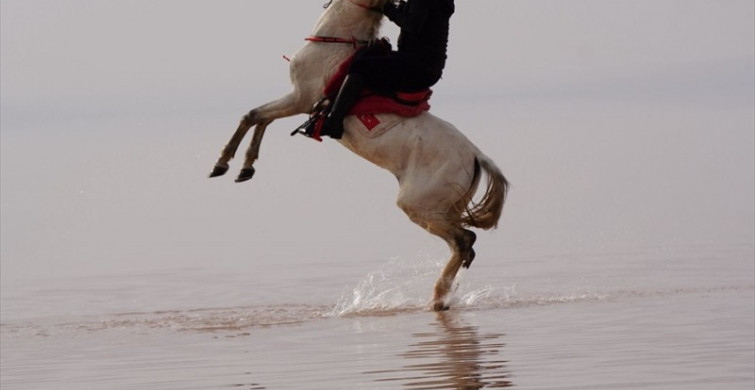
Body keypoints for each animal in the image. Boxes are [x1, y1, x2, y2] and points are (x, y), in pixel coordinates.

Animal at [210, 0, 510, 310]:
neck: (335, 40)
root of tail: (476, 155)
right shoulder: (298, 100)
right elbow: (261, 120)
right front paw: (245, 168)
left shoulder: (299, 98)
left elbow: (253, 116)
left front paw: (222, 164)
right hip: (444, 208)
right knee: (465, 246)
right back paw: (442, 296)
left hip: (419, 205)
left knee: (464, 240)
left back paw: (438, 297)